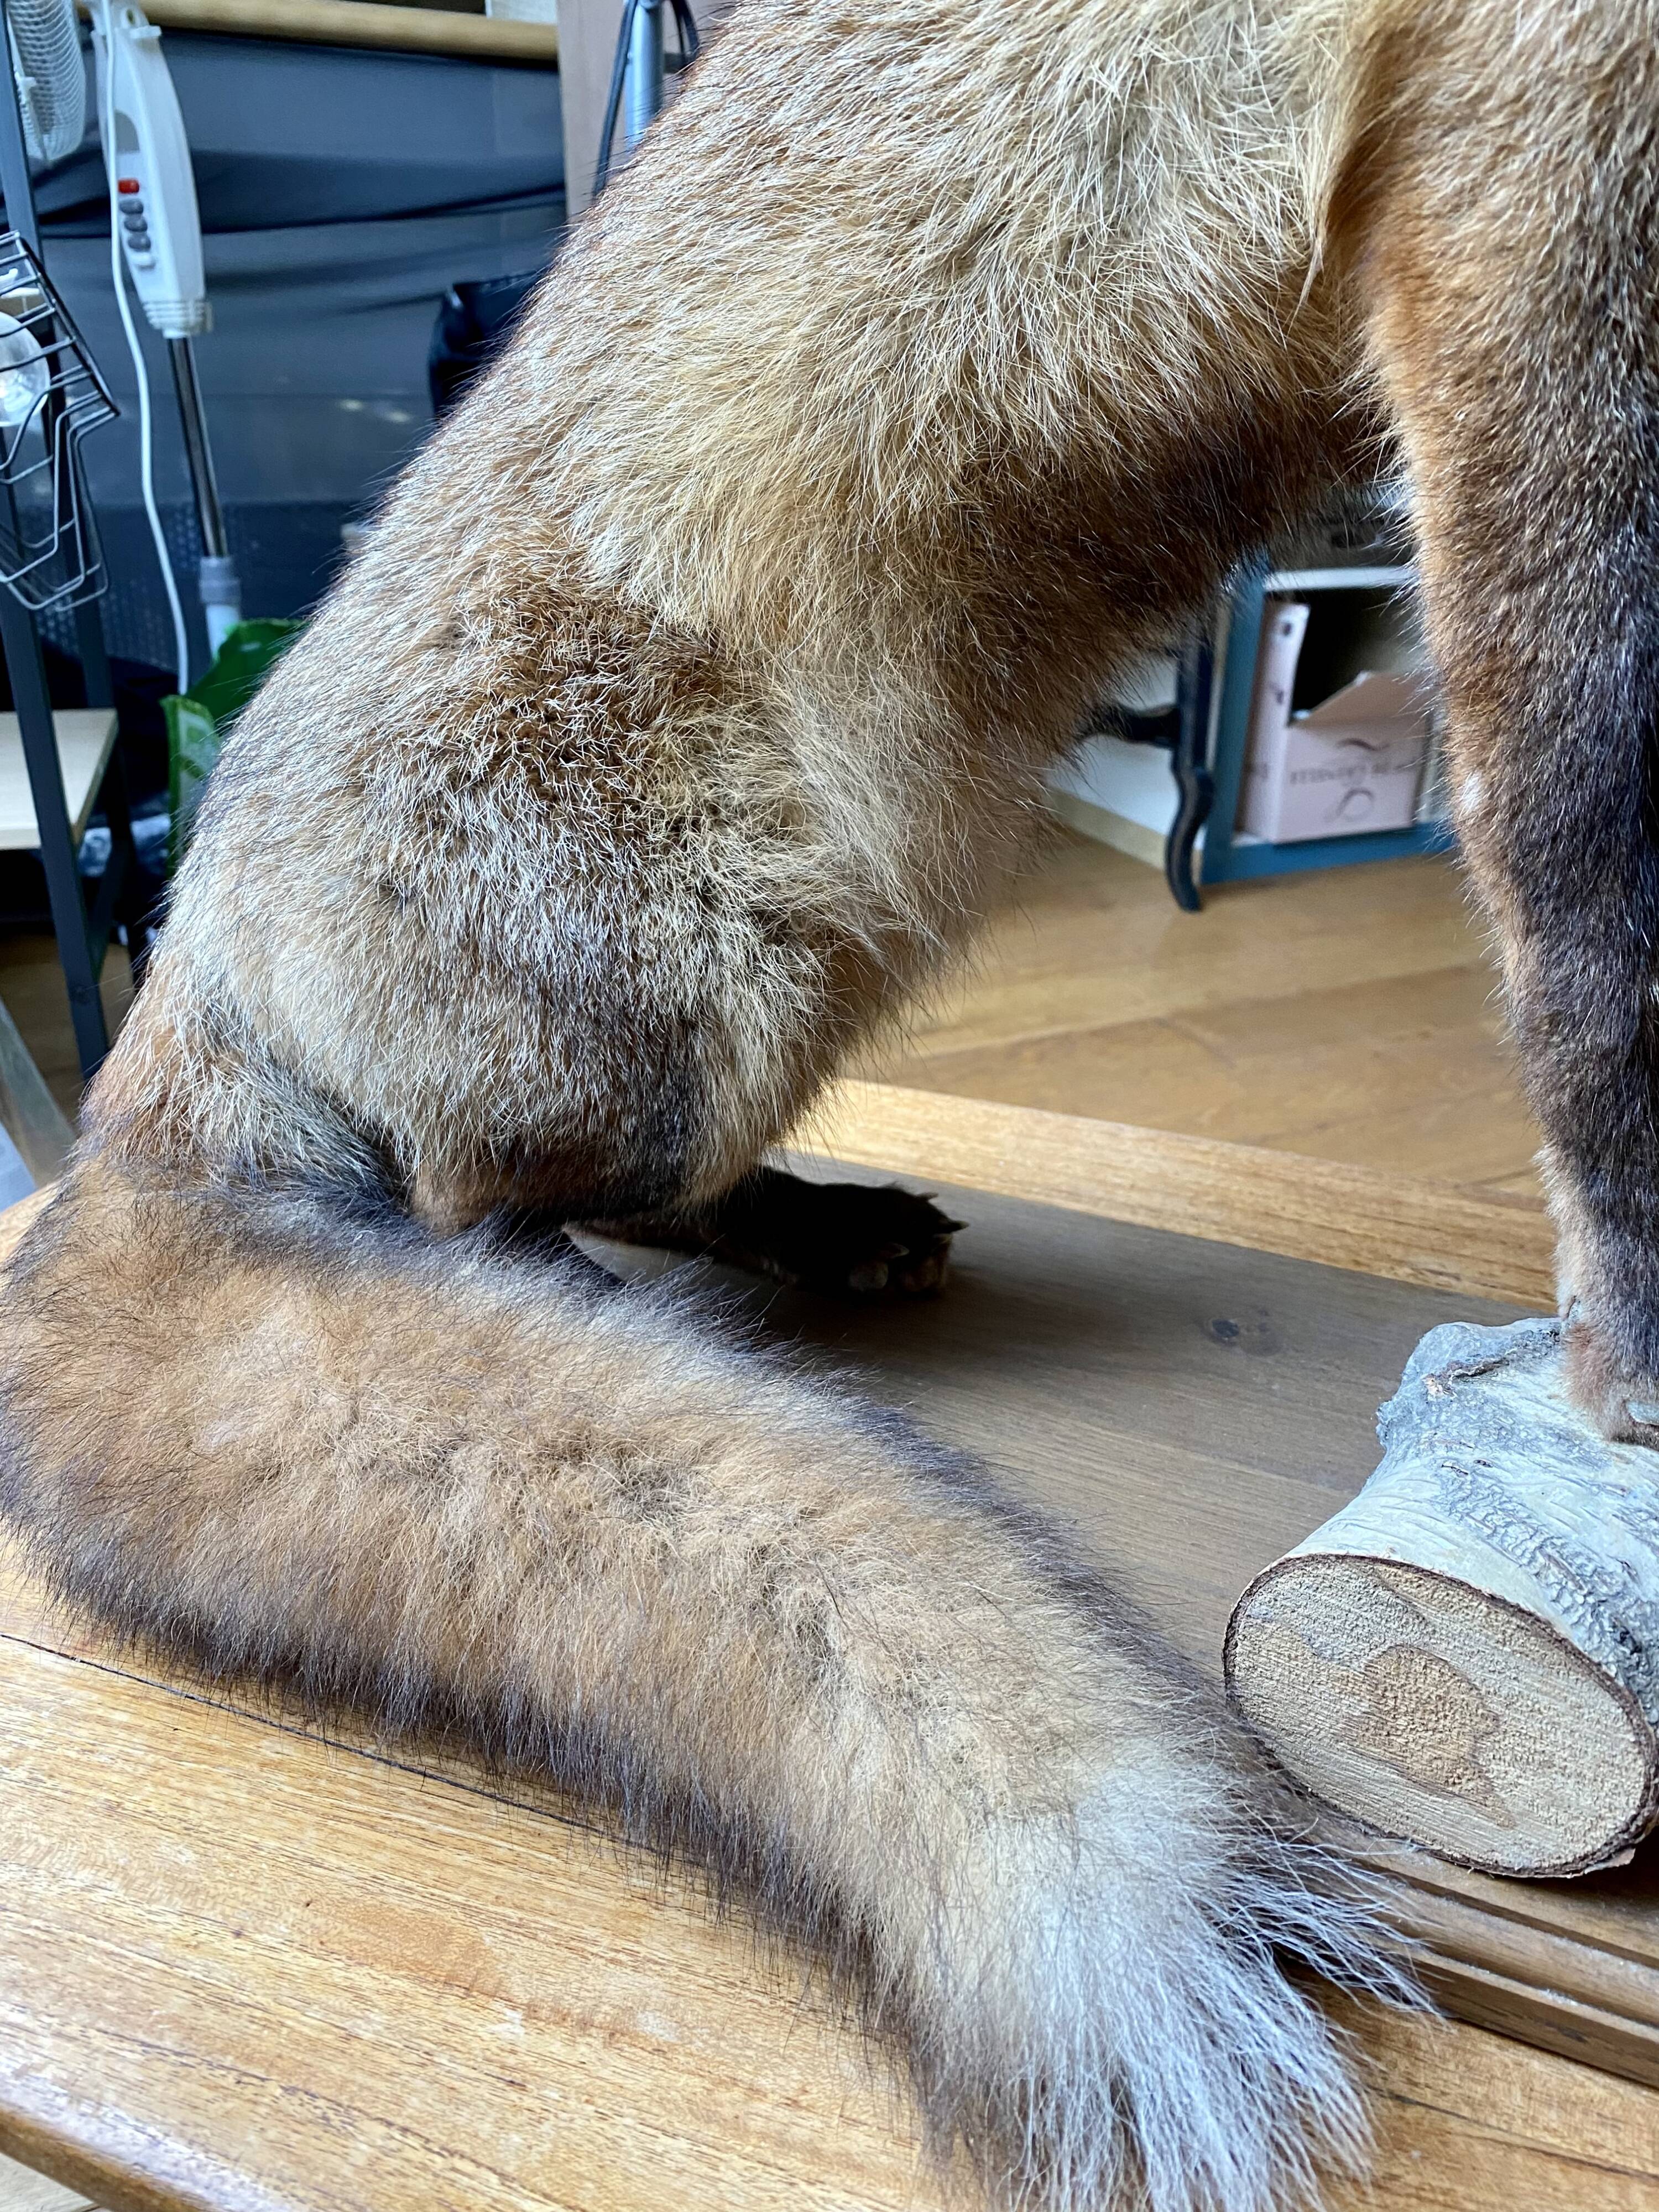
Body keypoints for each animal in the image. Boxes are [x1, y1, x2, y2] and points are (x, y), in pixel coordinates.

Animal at [2, 0, 1652, 2202]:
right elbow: (1591, 926)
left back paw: (824, 1229)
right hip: (736, 964)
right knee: (482, 1207)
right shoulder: (1525, 220)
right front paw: (1632, 1372)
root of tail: (178, 974)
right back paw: (653, 1290)